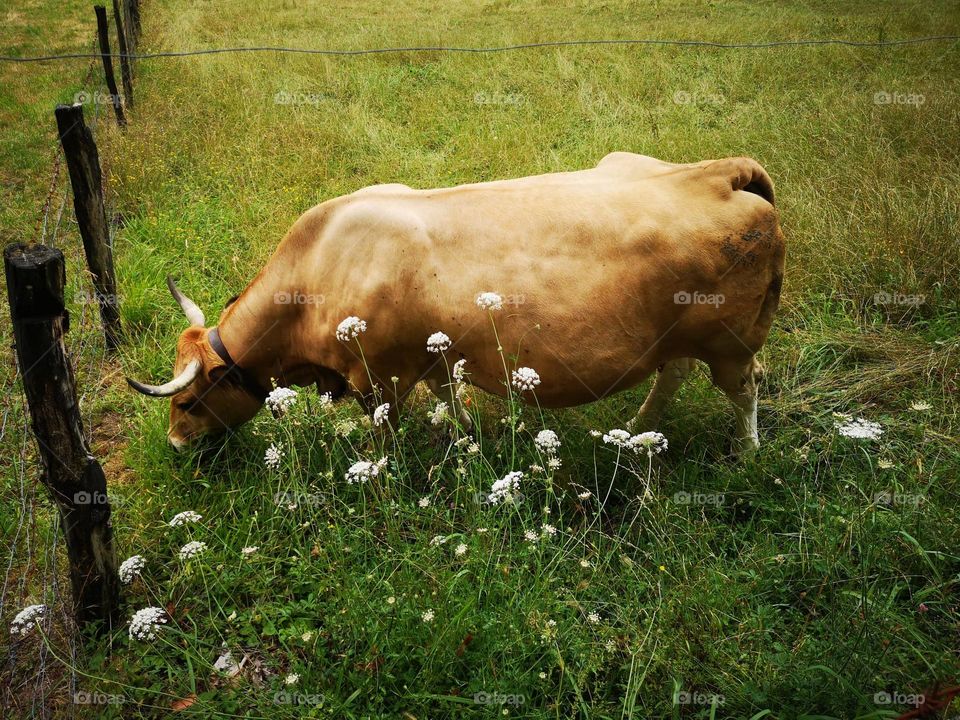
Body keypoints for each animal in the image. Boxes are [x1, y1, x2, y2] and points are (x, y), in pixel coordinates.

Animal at [127, 152, 784, 455]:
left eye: (186, 401)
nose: (175, 445)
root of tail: (716, 172)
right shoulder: (435, 357)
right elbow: (452, 401)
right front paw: (469, 442)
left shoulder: (381, 377)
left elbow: (385, 433)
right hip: (681, 338)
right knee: (673, 374)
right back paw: (641, 430)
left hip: (730, 342)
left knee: (744, 386)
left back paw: (747, 451)